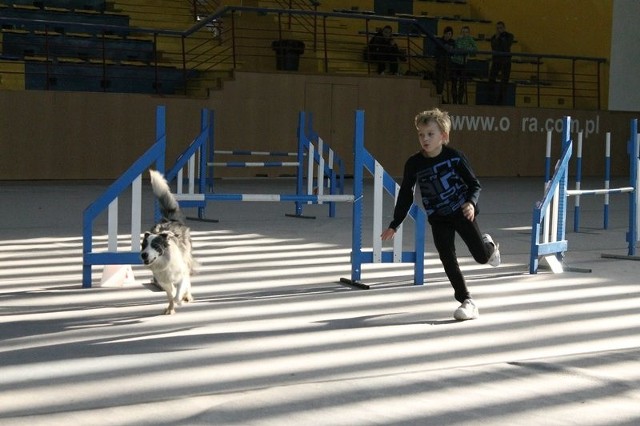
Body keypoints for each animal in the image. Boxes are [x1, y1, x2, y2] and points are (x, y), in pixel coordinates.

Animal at [141, 169, 196, 312]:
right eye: (144, 245)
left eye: (155, 246)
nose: (144, 255)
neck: (164, 261)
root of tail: (169, 220)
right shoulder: (163, 281)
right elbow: (170, 294)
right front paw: (170, 308)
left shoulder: (182, 274)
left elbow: (179, 292)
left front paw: (180, 299)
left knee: (188, 282)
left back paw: (187, 296)